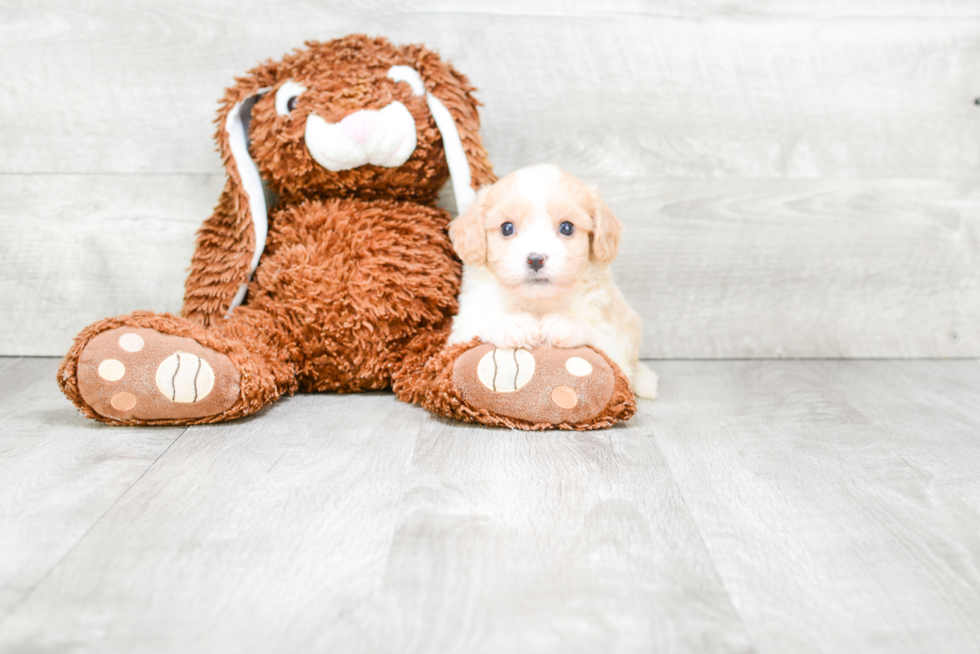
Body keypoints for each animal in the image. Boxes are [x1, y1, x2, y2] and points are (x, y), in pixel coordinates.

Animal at [448, 165, 656, 400]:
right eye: (506, 228)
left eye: (567, 228)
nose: (535, 259)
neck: (539, 302)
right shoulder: (460, 330)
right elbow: (481, 320)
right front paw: (512, 323)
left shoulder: (613, 340)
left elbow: (598, 336)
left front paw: (563, 322)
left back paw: (645, 380)